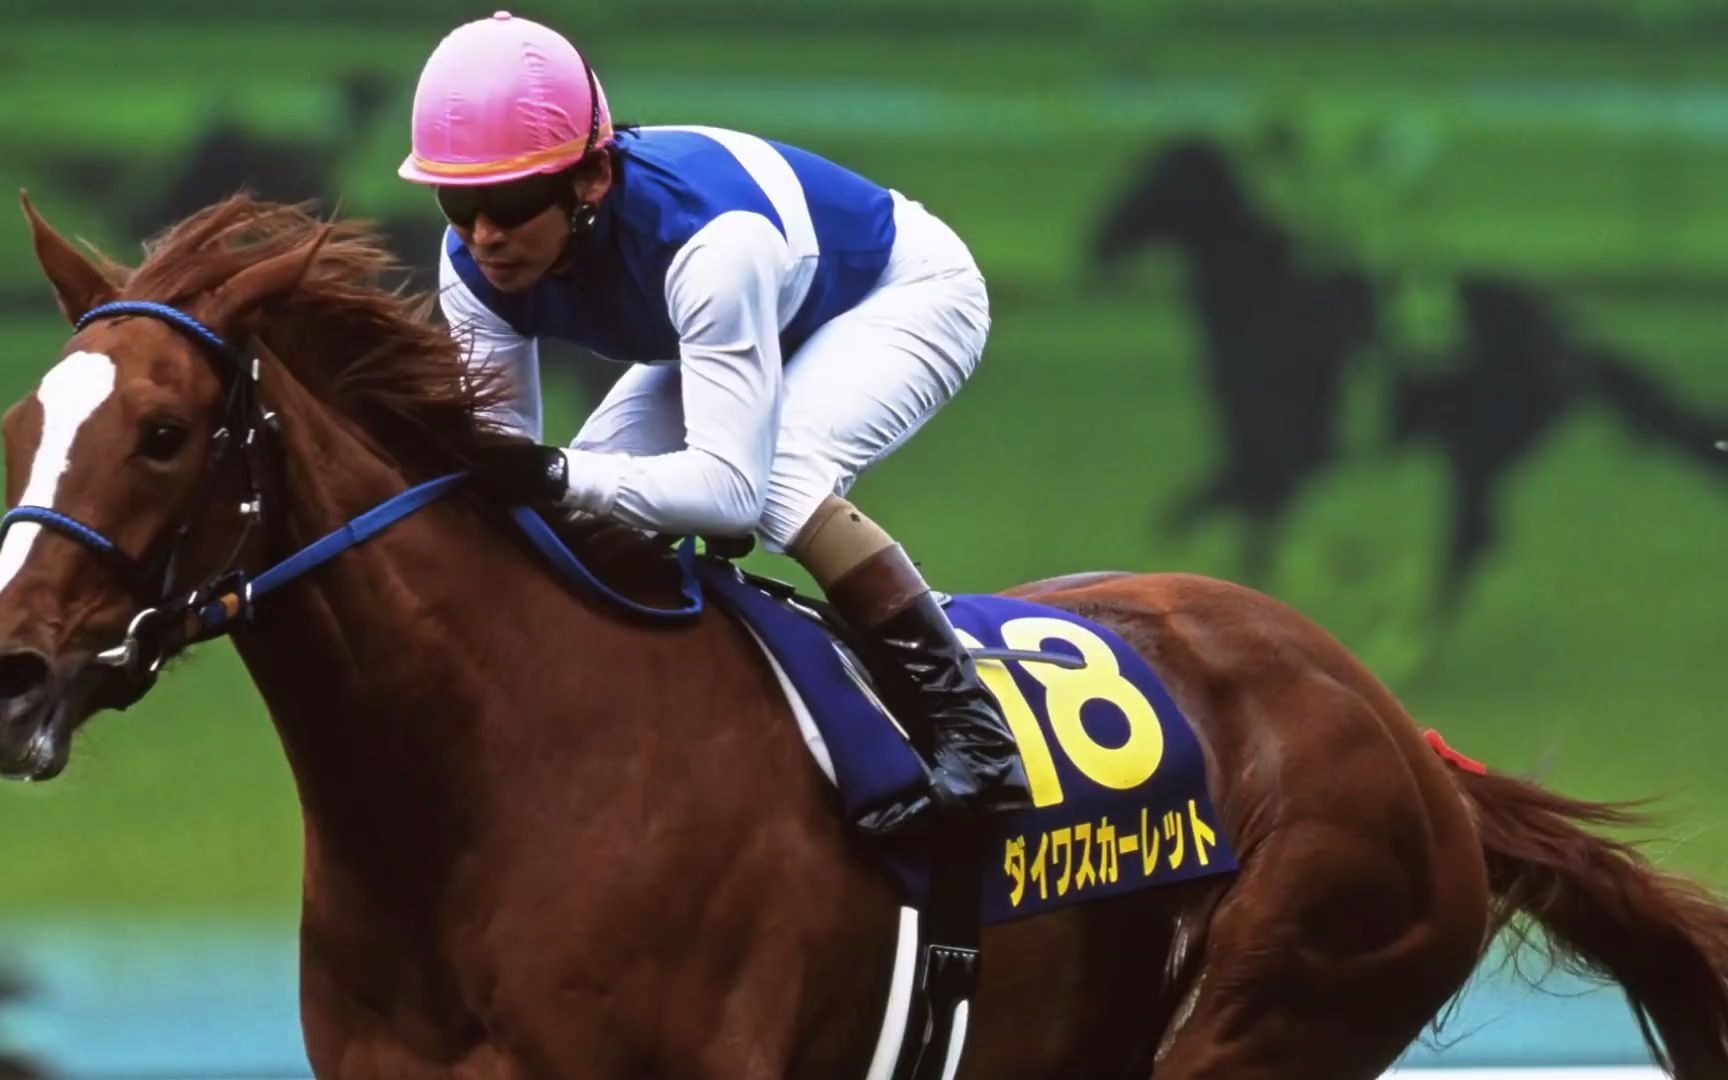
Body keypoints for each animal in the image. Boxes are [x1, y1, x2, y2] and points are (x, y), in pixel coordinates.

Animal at [4, 193, 1728, 1079]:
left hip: (1284, 1002)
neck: (495, 784)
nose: (15, 671)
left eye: (162, 434)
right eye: (27, 420)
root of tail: (1411, 742)